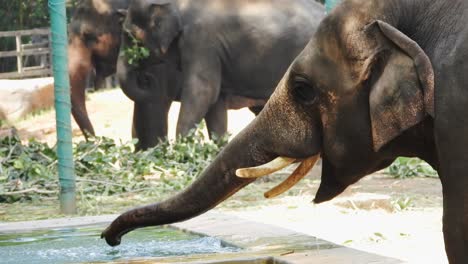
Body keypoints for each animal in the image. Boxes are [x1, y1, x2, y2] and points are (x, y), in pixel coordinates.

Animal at [116, 0, 326, 151]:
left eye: (128, 35)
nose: (146, 78)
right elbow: (215, 103)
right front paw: (216, 151)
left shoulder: (200, 41)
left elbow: (202, 93)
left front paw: (181, 150)